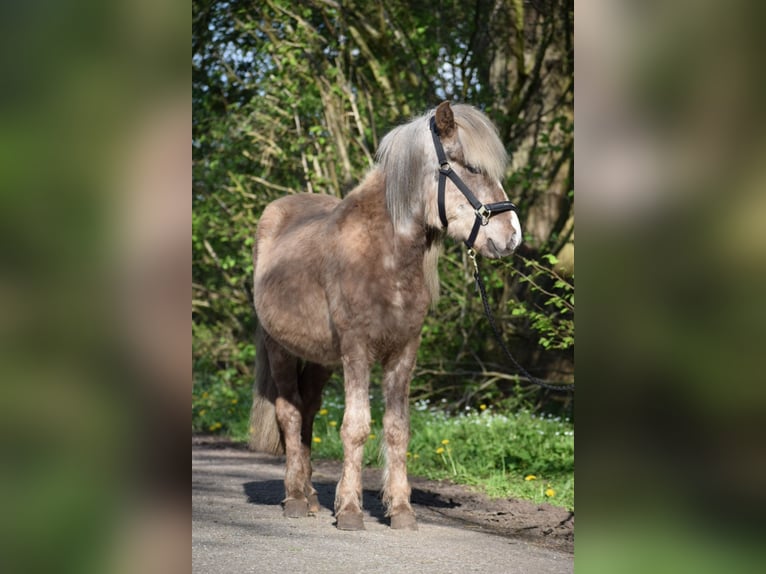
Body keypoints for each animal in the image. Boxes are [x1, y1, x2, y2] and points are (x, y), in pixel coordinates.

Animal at [249, 99, 524, 532]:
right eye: (470, 167)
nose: (512, 237)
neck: (384, 255)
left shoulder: (403, 351)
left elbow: (397, 430)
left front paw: (401, 510)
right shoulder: (357, 349)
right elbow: (356, 427)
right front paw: (349, 509)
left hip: (321, 360)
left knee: (307, 413)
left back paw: (311, 497)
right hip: (281, 349)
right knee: (290, 414)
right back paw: (294, 498)